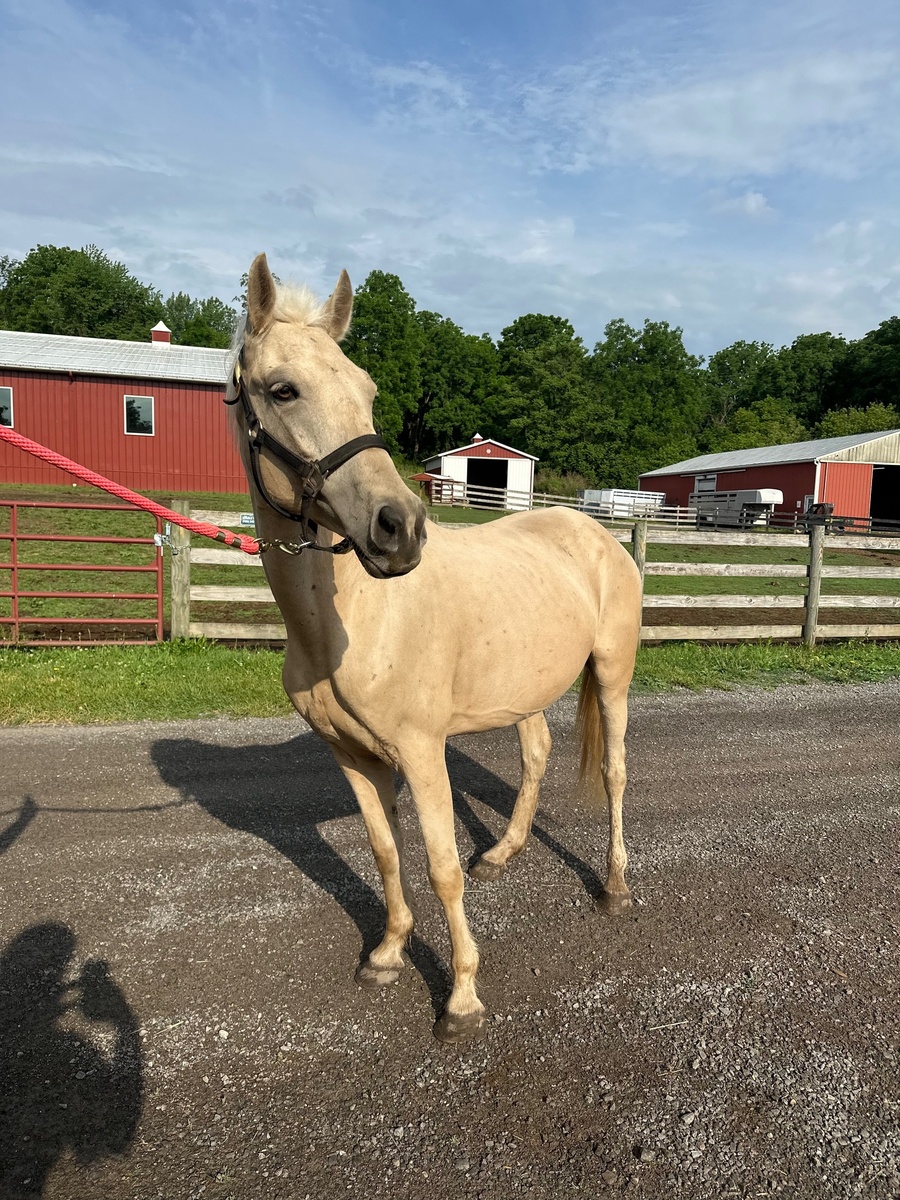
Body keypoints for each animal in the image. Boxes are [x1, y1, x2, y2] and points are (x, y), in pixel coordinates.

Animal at [227, 253, 643, 1043]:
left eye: (367, 389)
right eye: (282, 389)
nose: (399, 528)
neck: (351, 622)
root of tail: (597, 534)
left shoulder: (422, 753)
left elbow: (441, 867)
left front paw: (462, 997)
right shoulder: (353, 757)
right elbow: (388, 852)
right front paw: (388, 953)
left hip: (611, 676)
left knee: (613, 774)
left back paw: (613, 885)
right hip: (524, 688)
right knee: (537, 756)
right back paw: (505, 853)